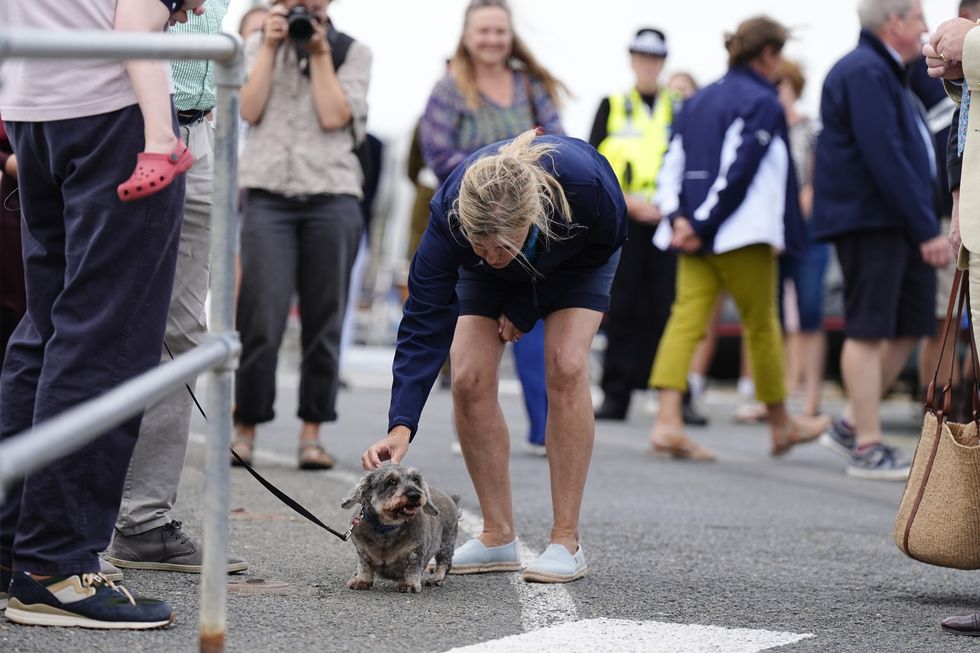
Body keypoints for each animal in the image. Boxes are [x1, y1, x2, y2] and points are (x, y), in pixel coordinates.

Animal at [340, 460, 460, 592]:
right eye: (391, 481)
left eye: (415, 479)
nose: (415, 495)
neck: (387, 528)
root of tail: (450, 498)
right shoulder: (362, 550)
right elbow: (364, 566)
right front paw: (361, 580)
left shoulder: (415, 552)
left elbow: (412, 568)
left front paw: (410, 584)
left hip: (446, 543)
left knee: (444, 562)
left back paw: (436, 579)